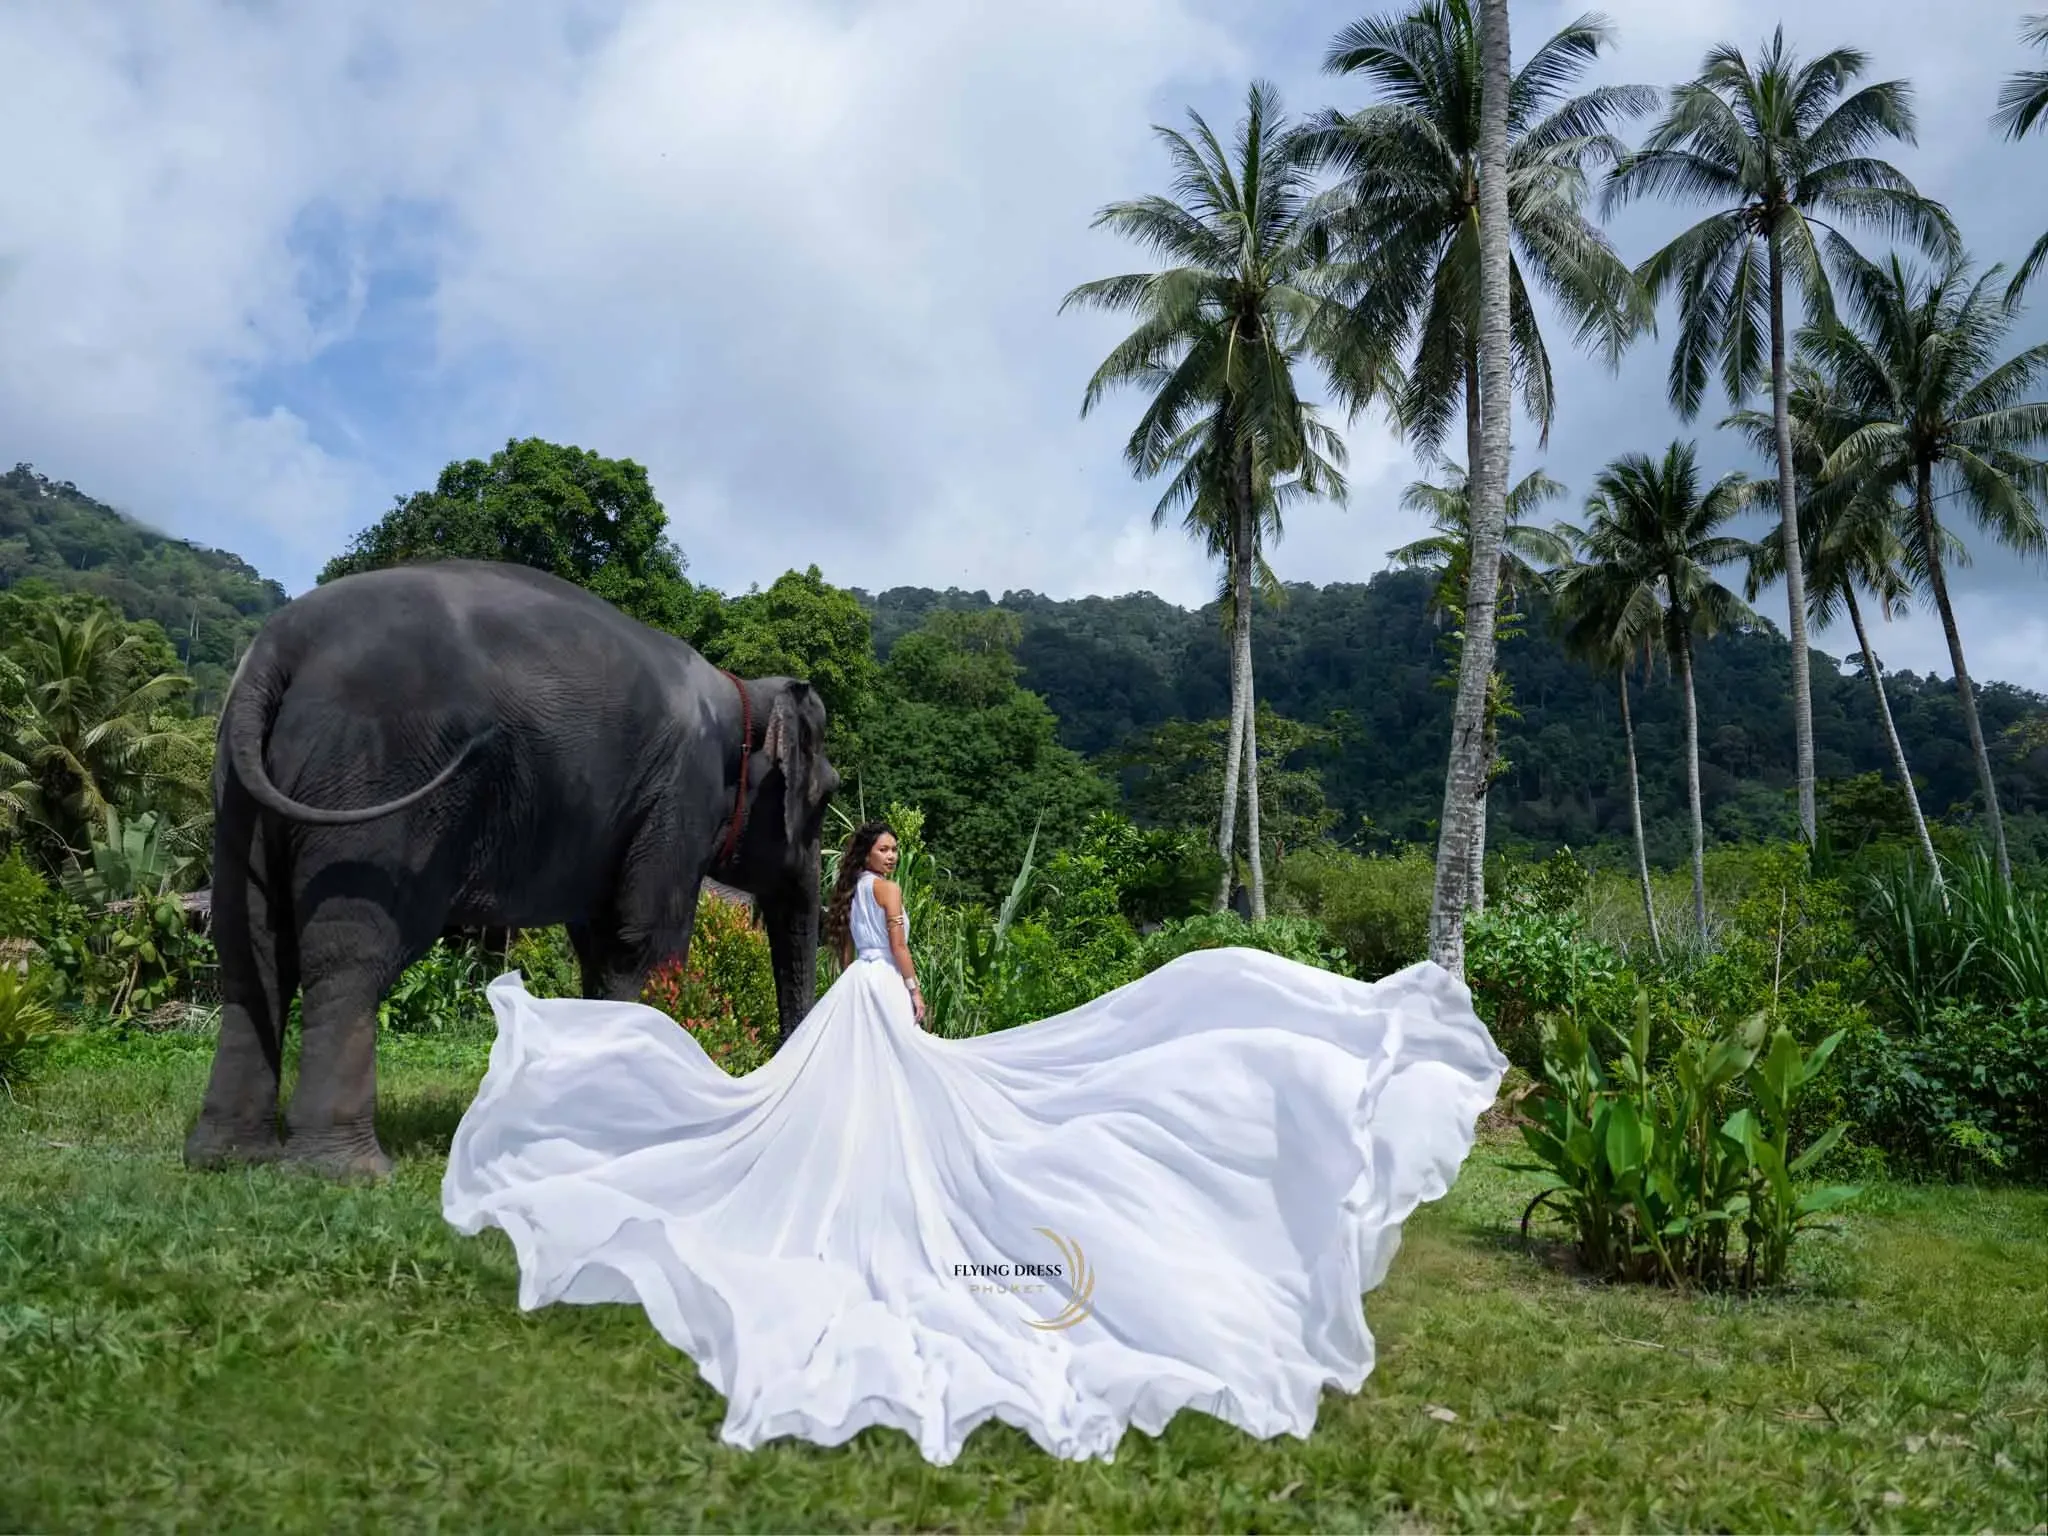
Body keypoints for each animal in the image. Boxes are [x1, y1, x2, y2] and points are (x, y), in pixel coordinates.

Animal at [183, 557, 840, 1178]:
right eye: (829, 795)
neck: (741, 694)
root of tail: (276, 654)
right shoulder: (680, 797)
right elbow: (648, 945)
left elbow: (603, 950)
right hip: (369, 785)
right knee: (349, 955)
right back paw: (348, 1171)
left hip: (237, 795)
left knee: (250, 951)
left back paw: (228, 1156)